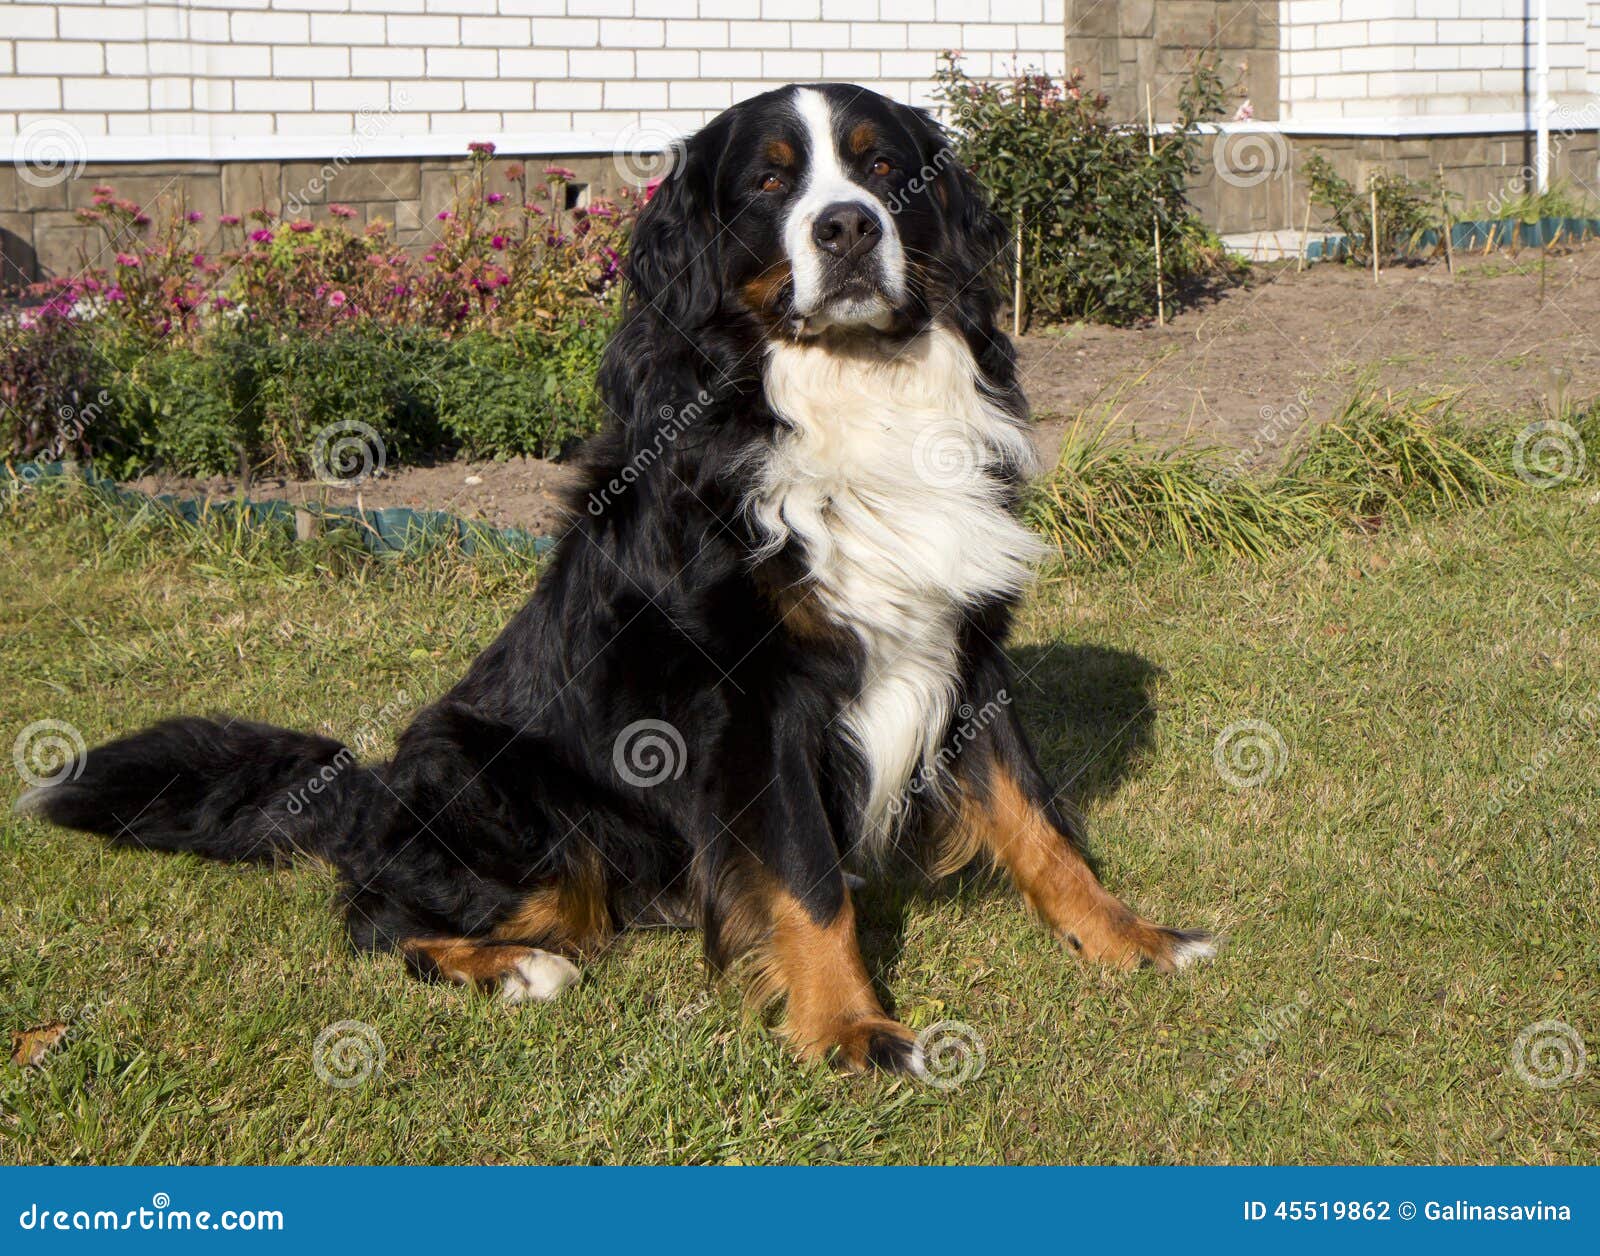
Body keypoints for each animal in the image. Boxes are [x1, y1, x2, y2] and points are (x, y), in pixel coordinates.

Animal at [21, 83, 1209, 1075]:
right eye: (770, 182)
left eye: (881, 169)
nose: (848, 228)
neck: (848, 396)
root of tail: (367, 791)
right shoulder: (752, 703)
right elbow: (811, 881)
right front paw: (850, 1028)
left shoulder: (963, 646)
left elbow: (1039, 822)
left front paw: (1129, 937)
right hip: (516, 798)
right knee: (376, 917)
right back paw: (515, 968)